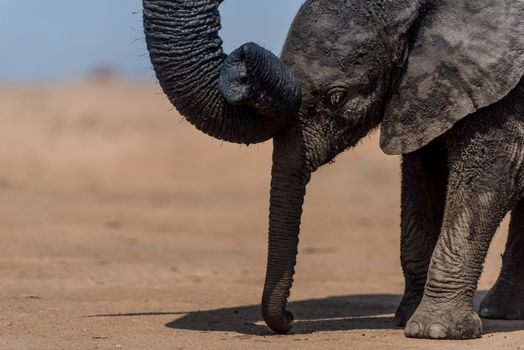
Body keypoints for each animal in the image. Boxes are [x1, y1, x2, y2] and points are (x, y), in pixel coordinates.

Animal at [143, 0, 524, 340]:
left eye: (336, 97)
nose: (290, 318)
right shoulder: (424, 89)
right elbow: (420, 176)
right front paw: (404, 319)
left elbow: (490, 175)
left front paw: (434, 332)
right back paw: (503, 312)